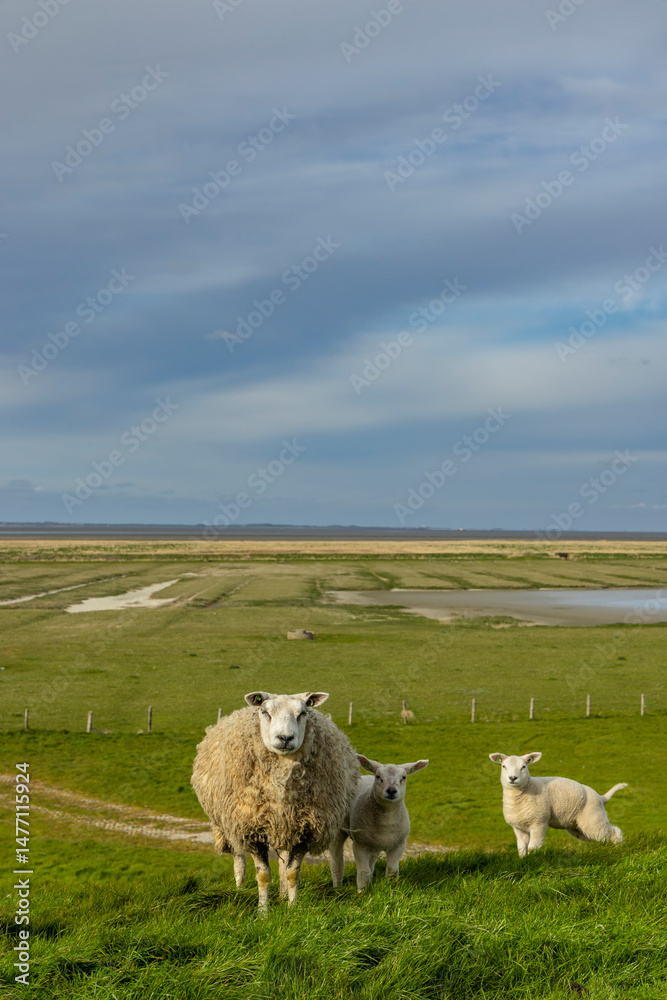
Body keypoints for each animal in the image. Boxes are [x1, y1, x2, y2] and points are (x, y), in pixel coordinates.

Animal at [191, 690, 359, 911]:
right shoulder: (252, 830)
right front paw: (263, 912)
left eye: (303, 713)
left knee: (282, 862)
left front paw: (292, 907)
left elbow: (292, 872)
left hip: (284, 825)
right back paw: (239, 889)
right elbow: (263, 875)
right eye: (265, 712)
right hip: (228, 824)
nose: (285, 738)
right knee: (239, 859)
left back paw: (282, 894)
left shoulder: (306, 829)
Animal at [345, 753, 429, 891]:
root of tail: (365, 776)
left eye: (404, 777)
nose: (391, 790)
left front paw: (391, 889)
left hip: (374, 844)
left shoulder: (399, 844)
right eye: (378, 777)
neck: (387, 824)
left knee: (372, 863)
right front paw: (362, 891)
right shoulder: (359, 844)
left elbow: (392, 870)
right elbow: (363, 872)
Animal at [489, 751, 627, 856]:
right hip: (578, 827)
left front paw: (534, 860)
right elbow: (522, 848)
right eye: (503, 766)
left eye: (524, 766)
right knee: (601, 839)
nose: (513, 778)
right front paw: (523, 860)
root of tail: (601, 797)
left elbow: (533, 847)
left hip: (593, 818)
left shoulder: (539, 822)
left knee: (614, 832)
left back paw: (620, 849)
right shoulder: (518, 827)